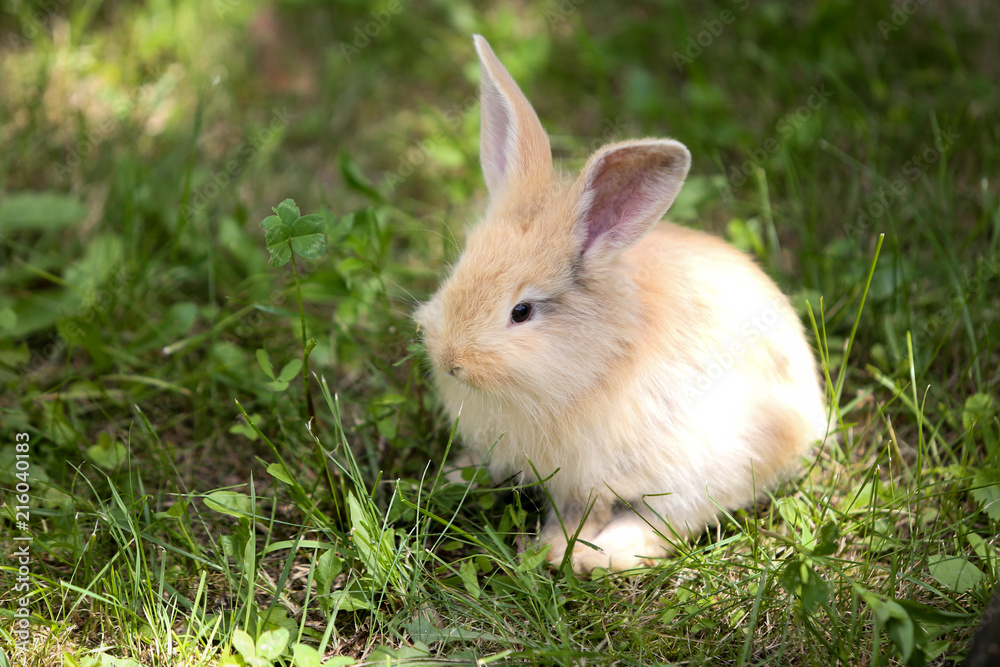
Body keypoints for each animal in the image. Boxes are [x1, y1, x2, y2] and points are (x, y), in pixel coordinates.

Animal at [414, 35, 828, 573]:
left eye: (522, 312)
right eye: (459, 268)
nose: (450, 360)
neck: (591, 358)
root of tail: (809, 420)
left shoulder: (588, 475)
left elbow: (581, 514)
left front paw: (553, 551)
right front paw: (451, 477)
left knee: (669, 523)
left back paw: (601, 557)